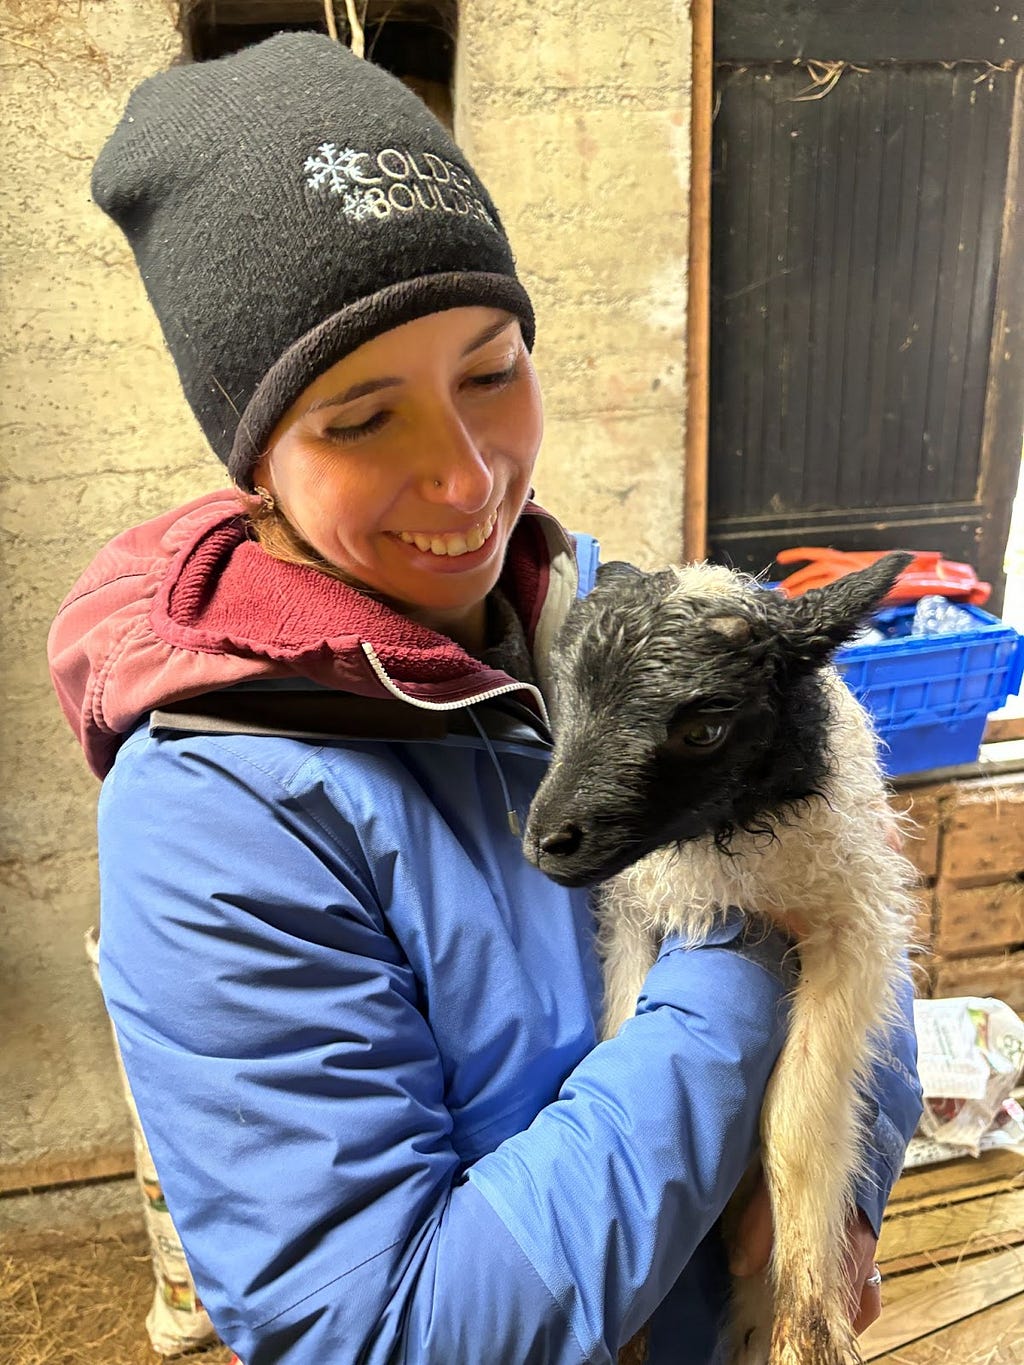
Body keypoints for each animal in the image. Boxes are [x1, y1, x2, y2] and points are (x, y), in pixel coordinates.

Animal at [524, 551, 917, 1365]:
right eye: (562, 691)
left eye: (705, 727)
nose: (545, 843)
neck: (723, 842)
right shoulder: (633, 923)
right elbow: (619, 1038)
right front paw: (633, 1335)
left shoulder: (852, 931)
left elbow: (797, 1122)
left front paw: (805, 1327)